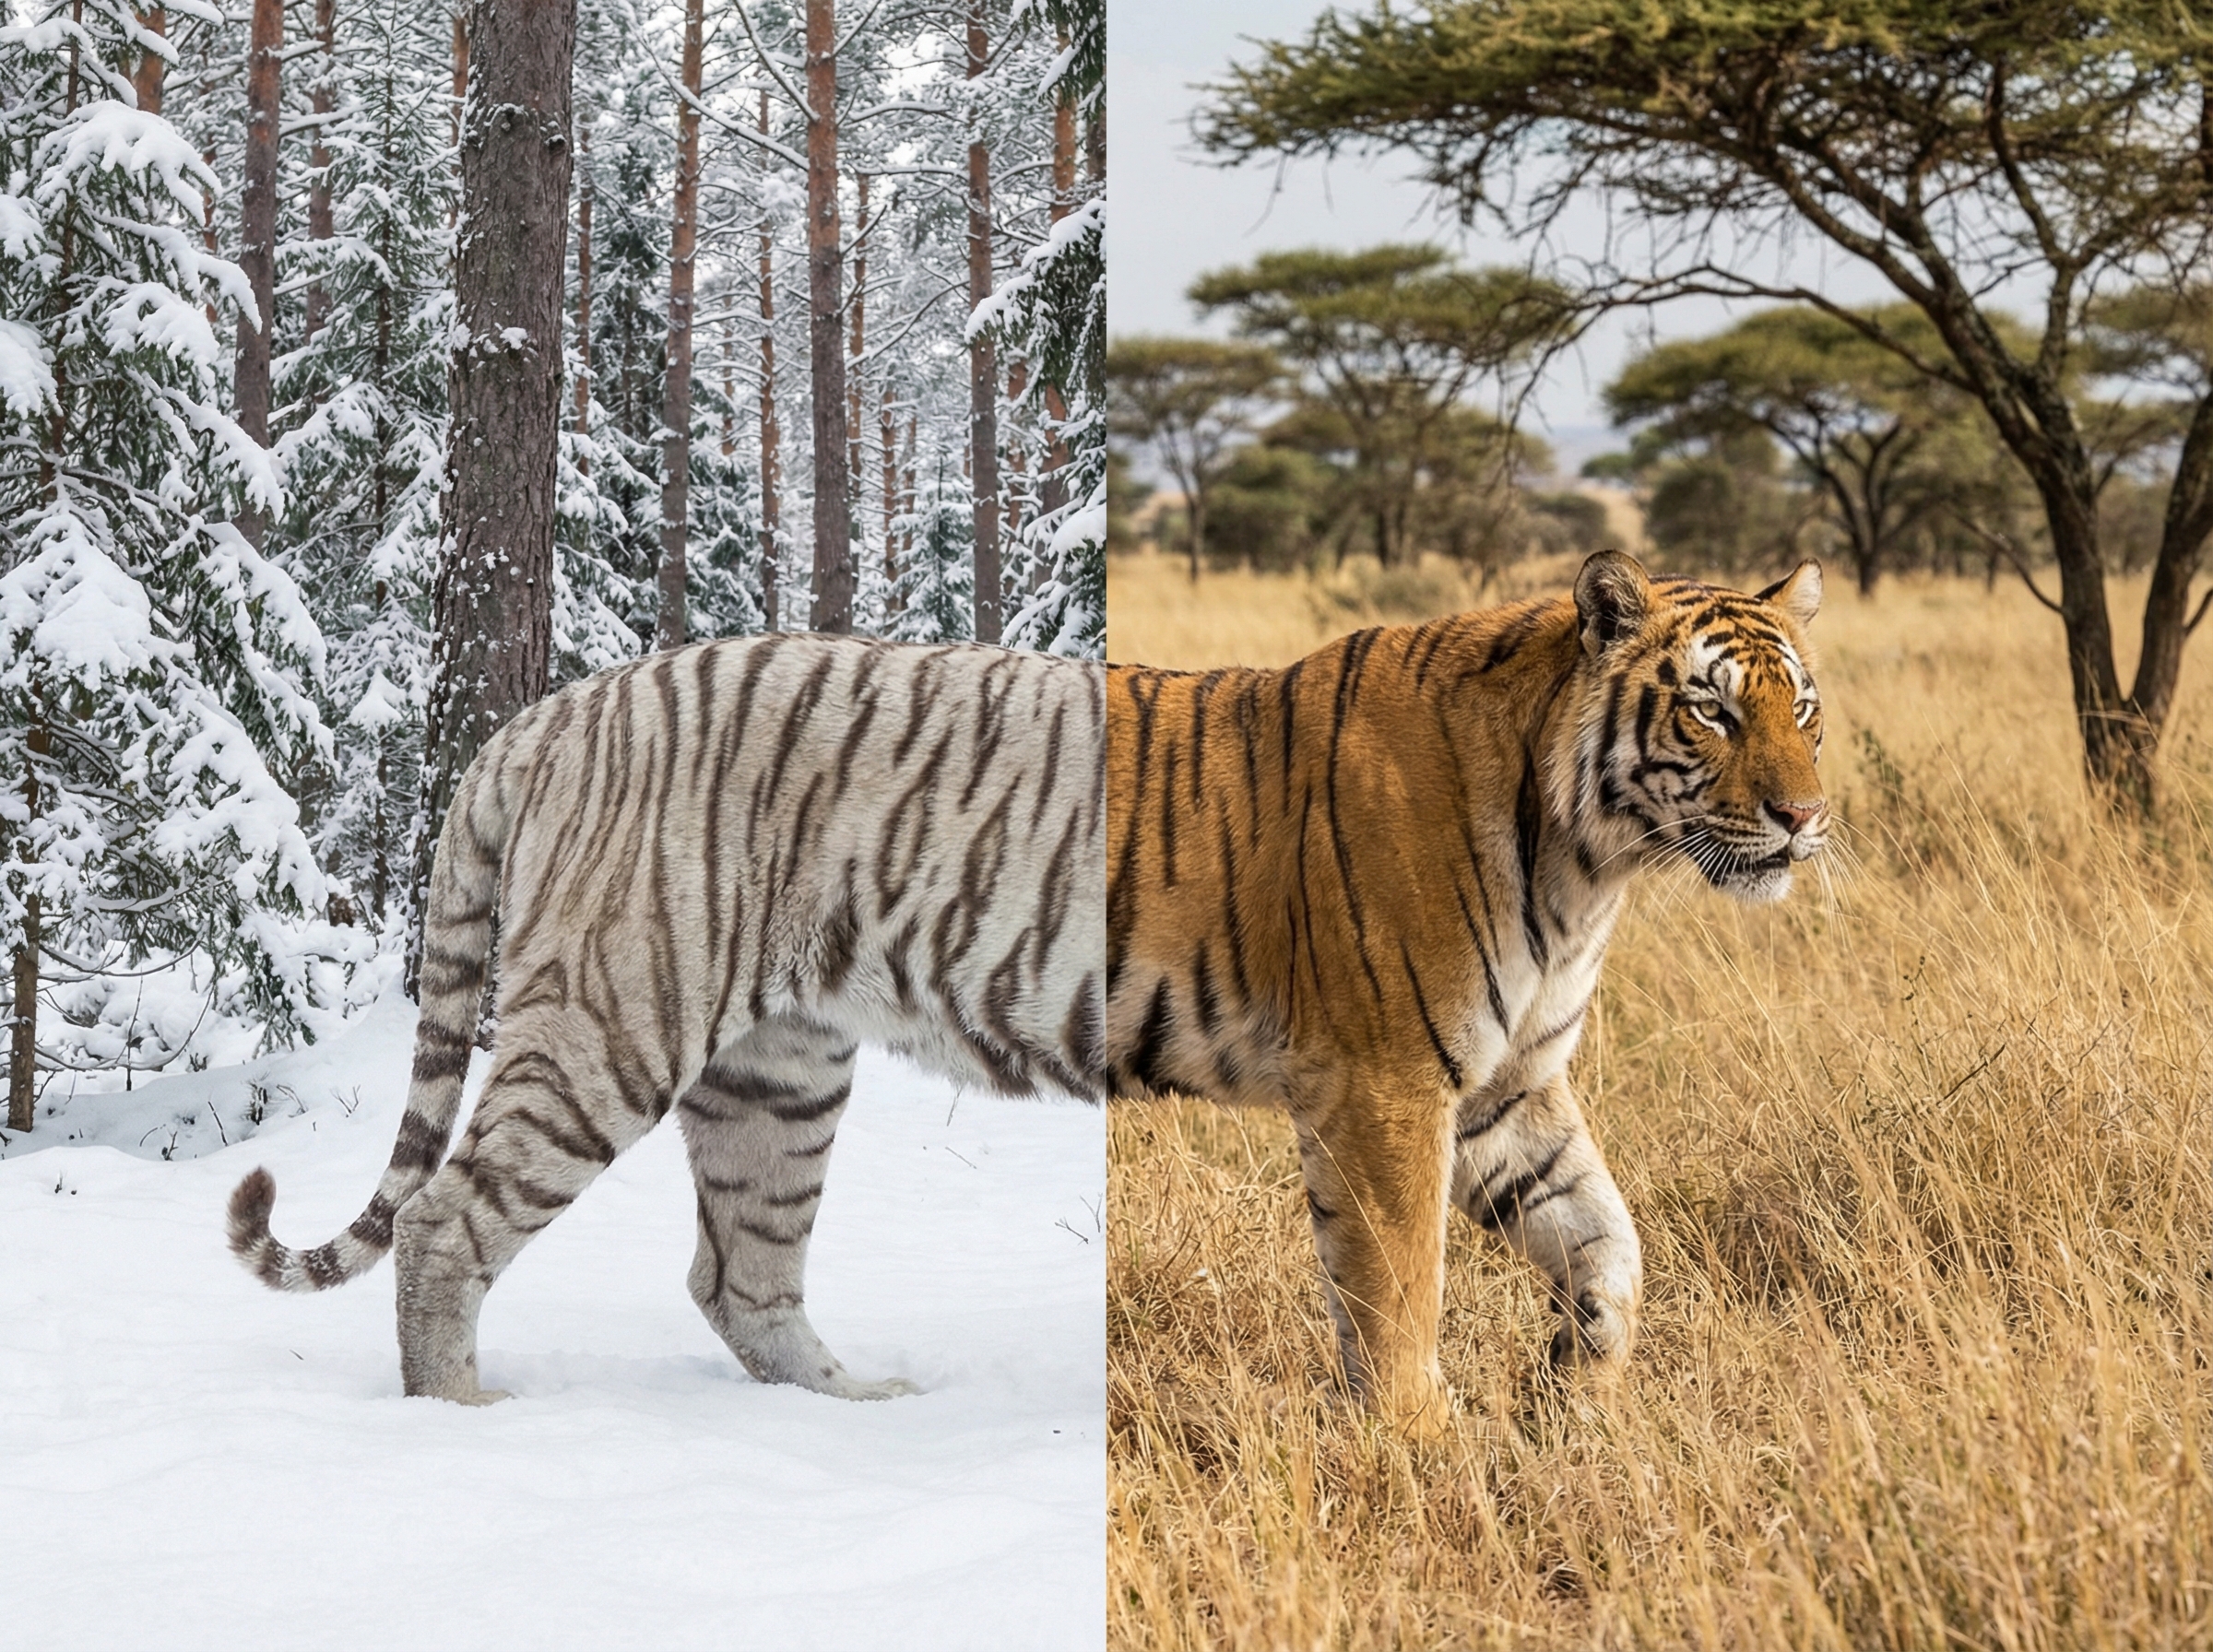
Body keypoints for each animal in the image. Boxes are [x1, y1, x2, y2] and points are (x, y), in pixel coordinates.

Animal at [229, 632, 1105, 1405]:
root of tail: (542, 715)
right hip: (611, 1028)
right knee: (439, 1220)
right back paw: (460, 1408)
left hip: (779, 1073)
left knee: (736, 1275)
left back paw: (849, 1400)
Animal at [1105, 550, 1827, 1429]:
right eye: (1712, 711)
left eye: (1801, 708)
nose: (1804, 815)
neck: (1583, 870)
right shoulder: (1386, 1082)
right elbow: (1398, 1289)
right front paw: (1418, 1440)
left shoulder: (1508, 1084)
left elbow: (1607, 1238)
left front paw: (1577, 1391)